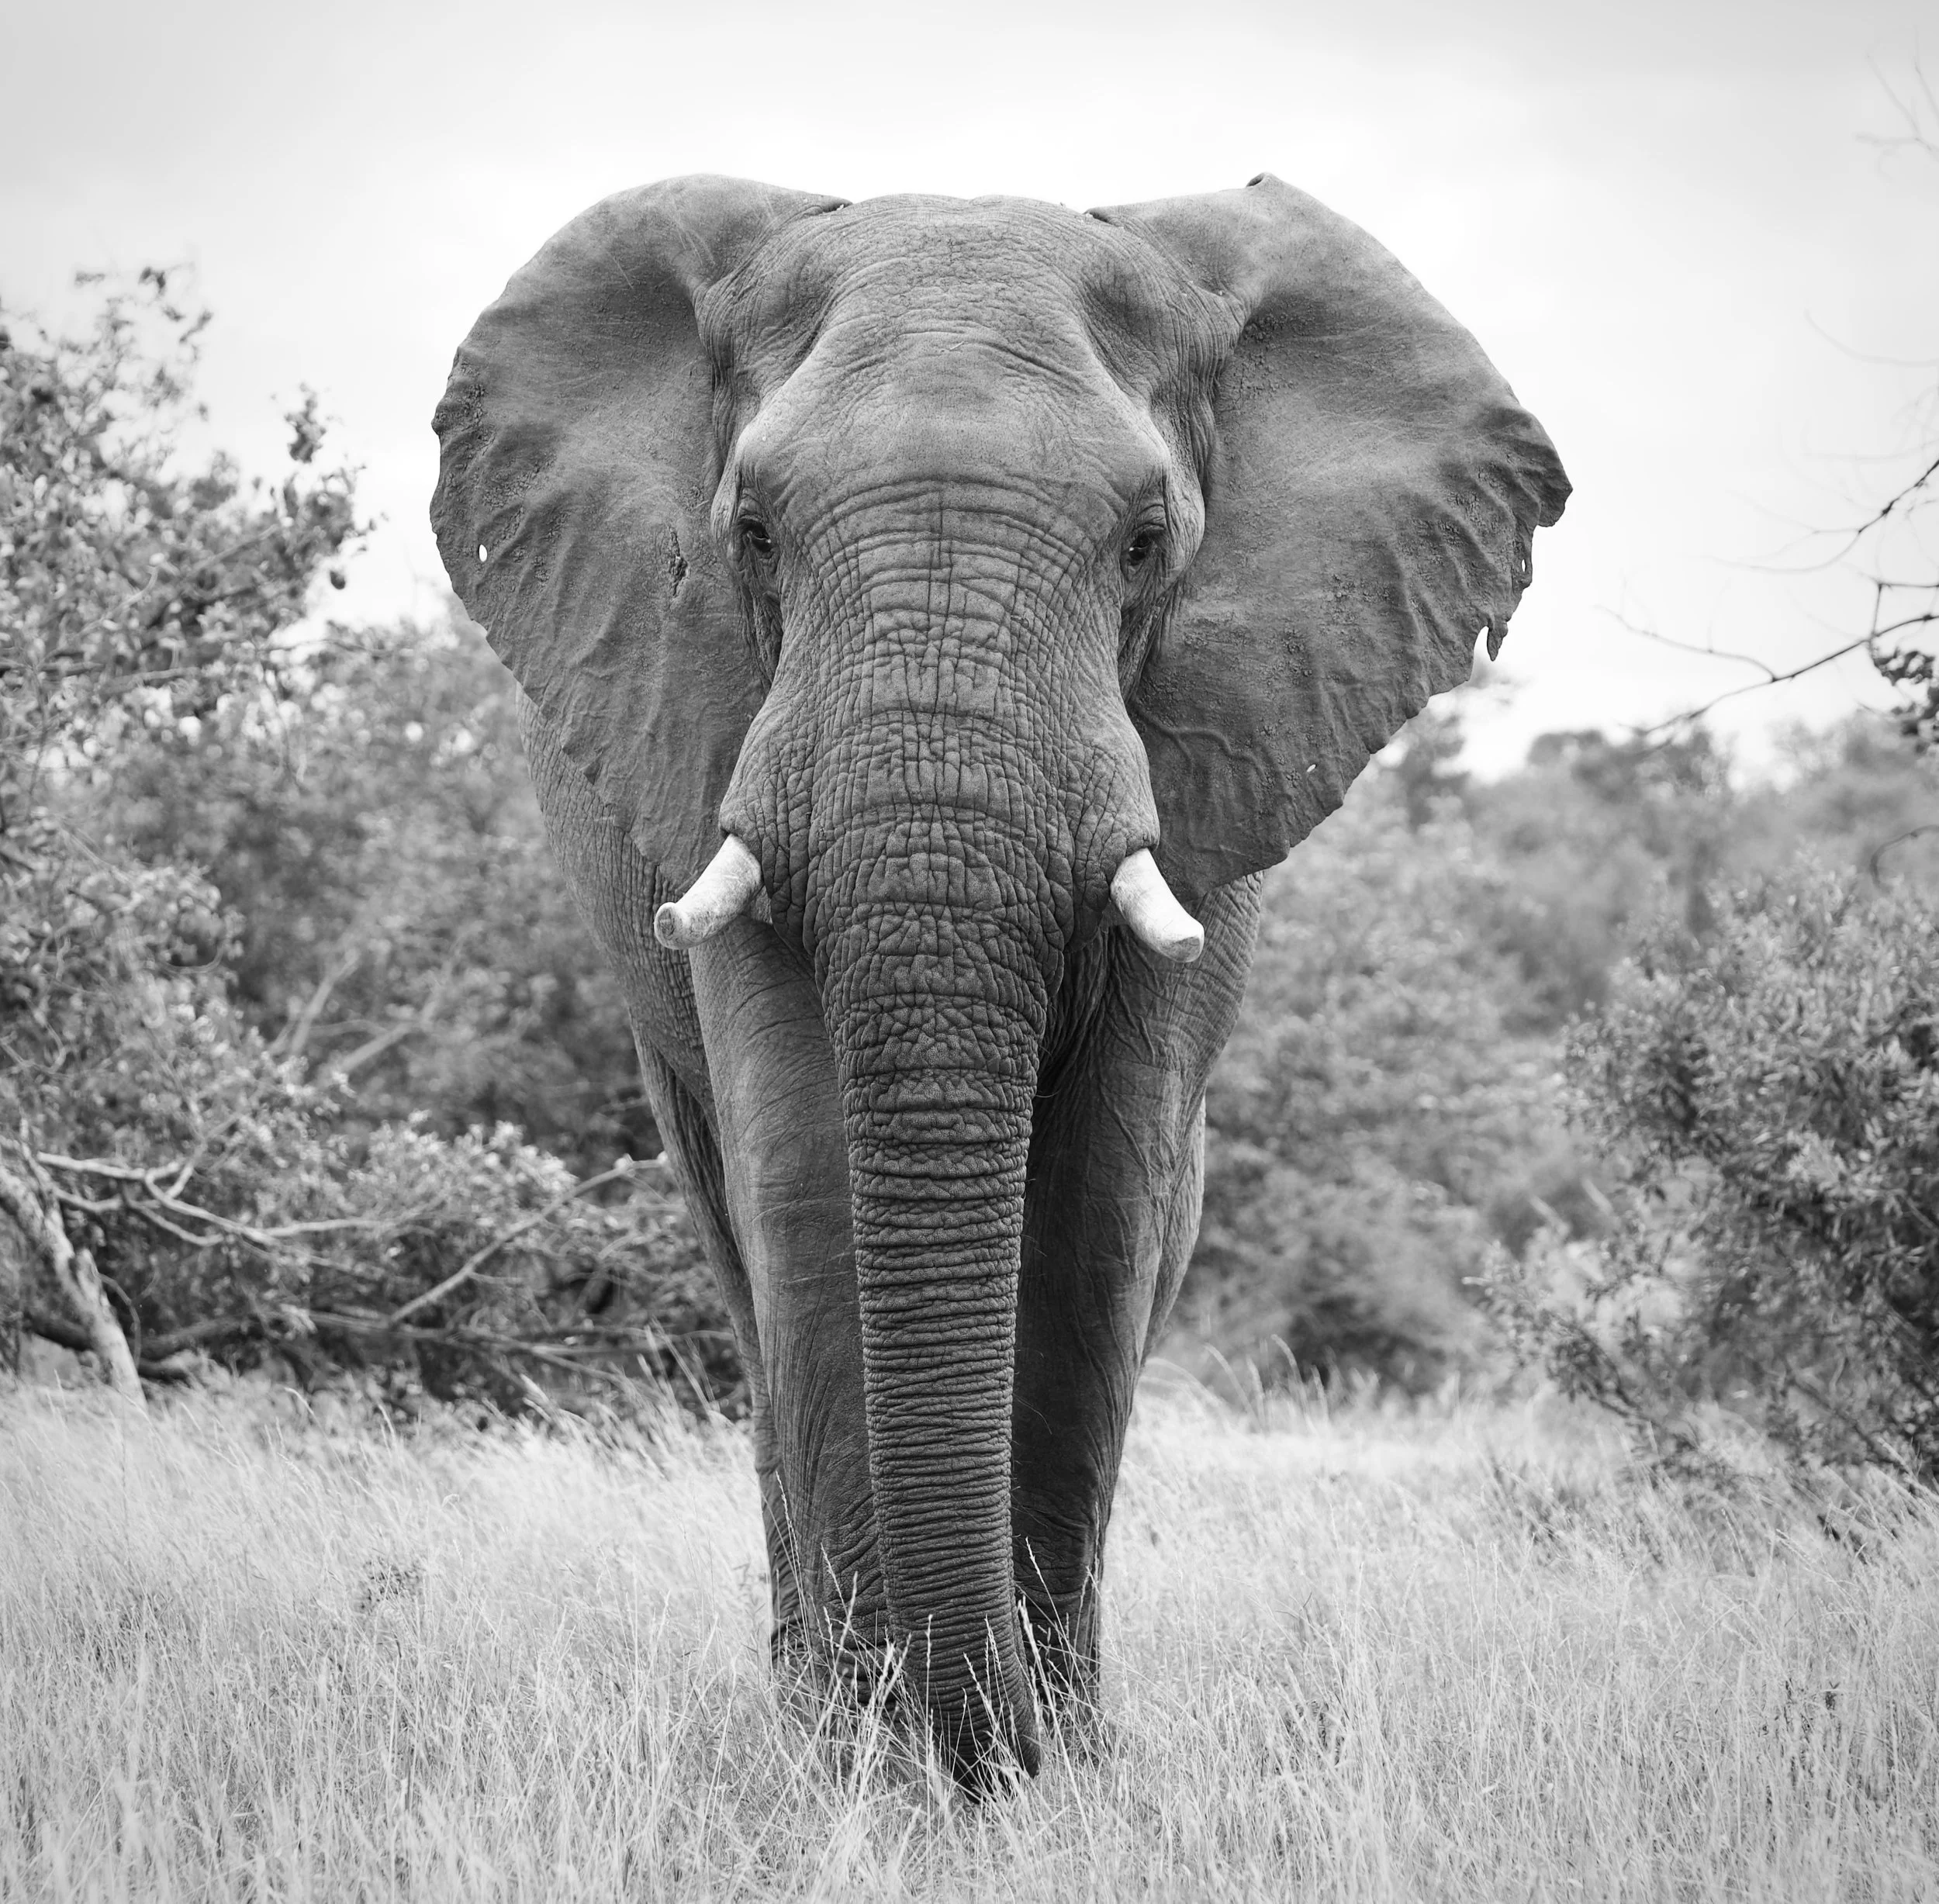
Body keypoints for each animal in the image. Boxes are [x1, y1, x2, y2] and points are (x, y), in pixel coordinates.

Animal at [430, 172, 1568, 1791]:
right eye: (753, 533)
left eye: (1147, 540)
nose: (983, 1734)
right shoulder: (710, 730)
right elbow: (807, 1176)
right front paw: (875, 1763)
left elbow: (1101, 1200)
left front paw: (1053, 1766)